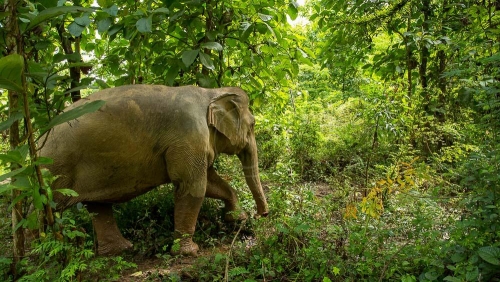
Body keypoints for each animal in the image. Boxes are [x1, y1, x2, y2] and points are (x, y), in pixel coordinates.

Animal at [40, 83, 270, 256]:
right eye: (253, 124)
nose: (262, 214)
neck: (210, 92)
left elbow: (211, 182)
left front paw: (237, 218)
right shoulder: (189, 136)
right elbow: (193, 186)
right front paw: (189, 252)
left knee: (98, 206)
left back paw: (121, 250)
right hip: (54, 169)